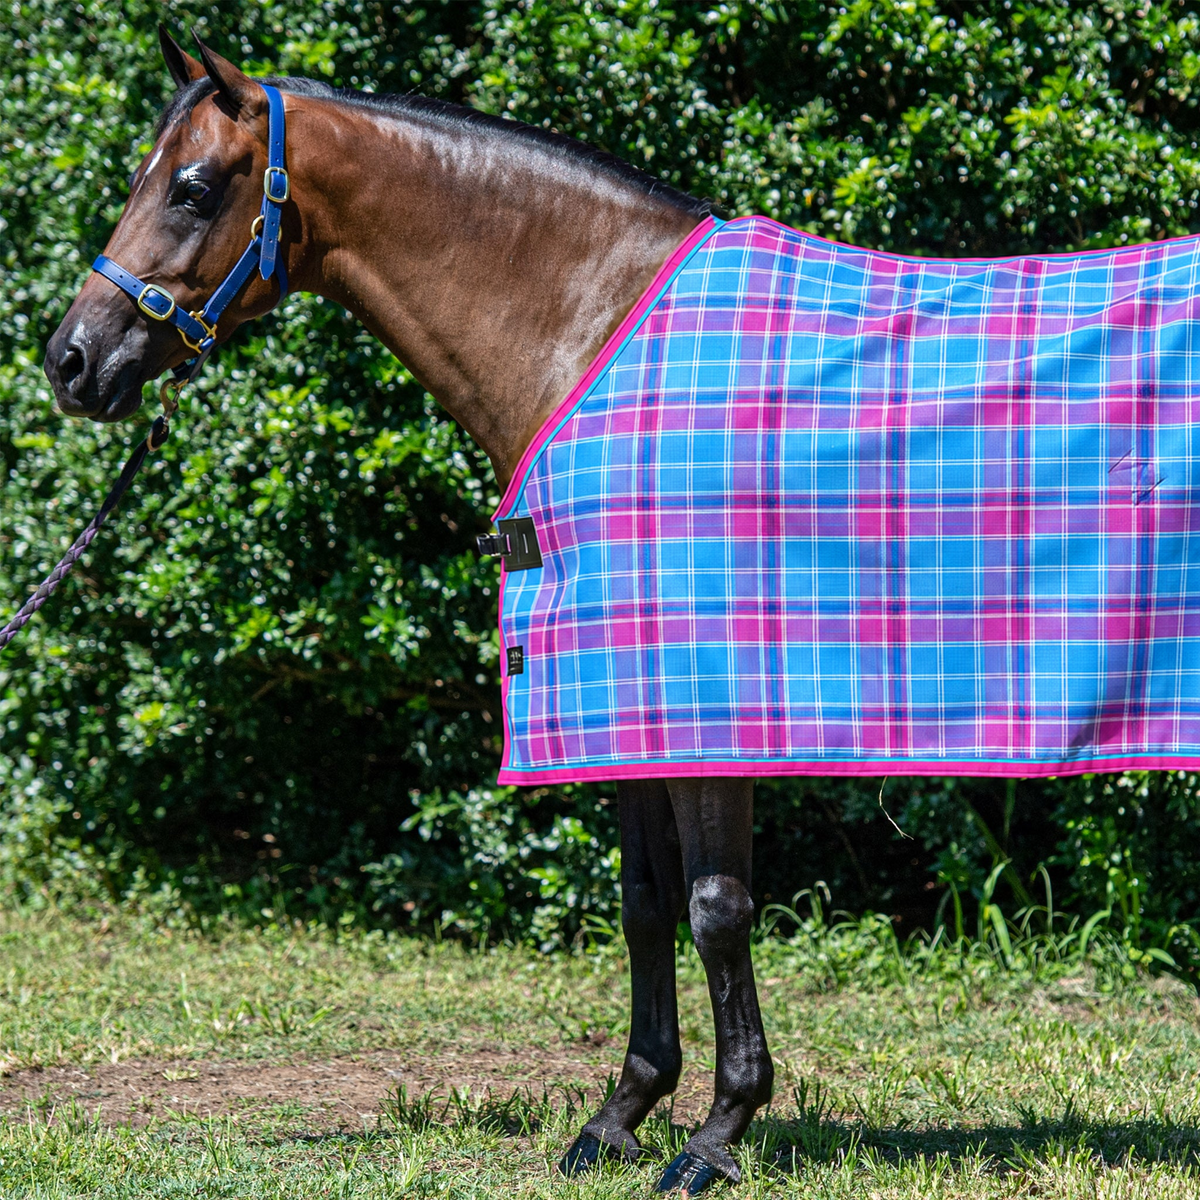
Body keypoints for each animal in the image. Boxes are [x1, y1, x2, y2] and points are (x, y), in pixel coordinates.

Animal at [44, 30, 771, 1196]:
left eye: (191, 188)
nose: (69, 360)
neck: (605, 340)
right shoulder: (619, 694)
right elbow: (646, 897)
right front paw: (621, 1116)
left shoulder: (710, 700)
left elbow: (716, 907)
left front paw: (715, 1136)